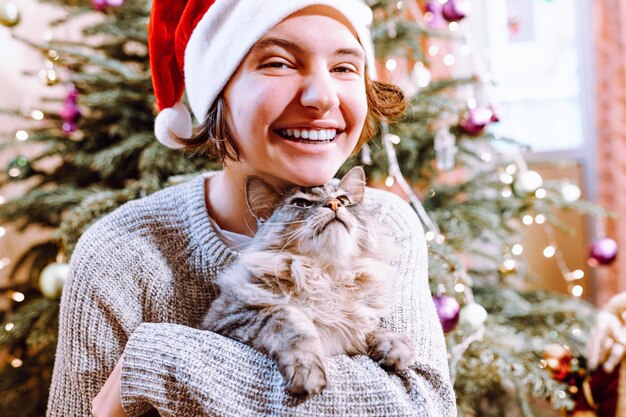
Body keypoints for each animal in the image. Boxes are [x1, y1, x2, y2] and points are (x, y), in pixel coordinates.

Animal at [201, 167, 414, 396]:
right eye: (301, 203)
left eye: (344, 200)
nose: (334, 204)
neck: (324, 275)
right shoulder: (230, 316)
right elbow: (290, 320)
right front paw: (307, 371)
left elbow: (366, 326)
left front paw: (394, 344)